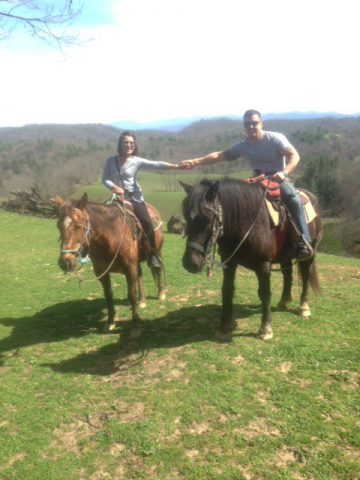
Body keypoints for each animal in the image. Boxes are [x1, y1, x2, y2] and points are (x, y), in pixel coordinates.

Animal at [54, 193, 165, 336]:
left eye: (78, 226)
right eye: (58, 226)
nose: (65, 262)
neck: (110, 237)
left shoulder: (129, 269)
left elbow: (131, 296)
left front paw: (135, 327)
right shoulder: (102, 272)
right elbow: (108, 295)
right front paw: (110, 322)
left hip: (157, 252)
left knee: (158, 270)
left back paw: (161, 293)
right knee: (140, 275)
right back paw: (142, 300)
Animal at [181, 178, 322, 340]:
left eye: (208, 218)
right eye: (186, 217)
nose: (190, 263)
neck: (248, 223)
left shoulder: (263, 265)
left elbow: (265, 293)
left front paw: (265, 328)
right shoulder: (229, 262)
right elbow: (227, 290)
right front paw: (224, 326)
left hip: (311, 252)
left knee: (305, 276)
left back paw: (303, 306)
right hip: (285, 255)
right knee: (288, 275)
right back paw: (284, 301)